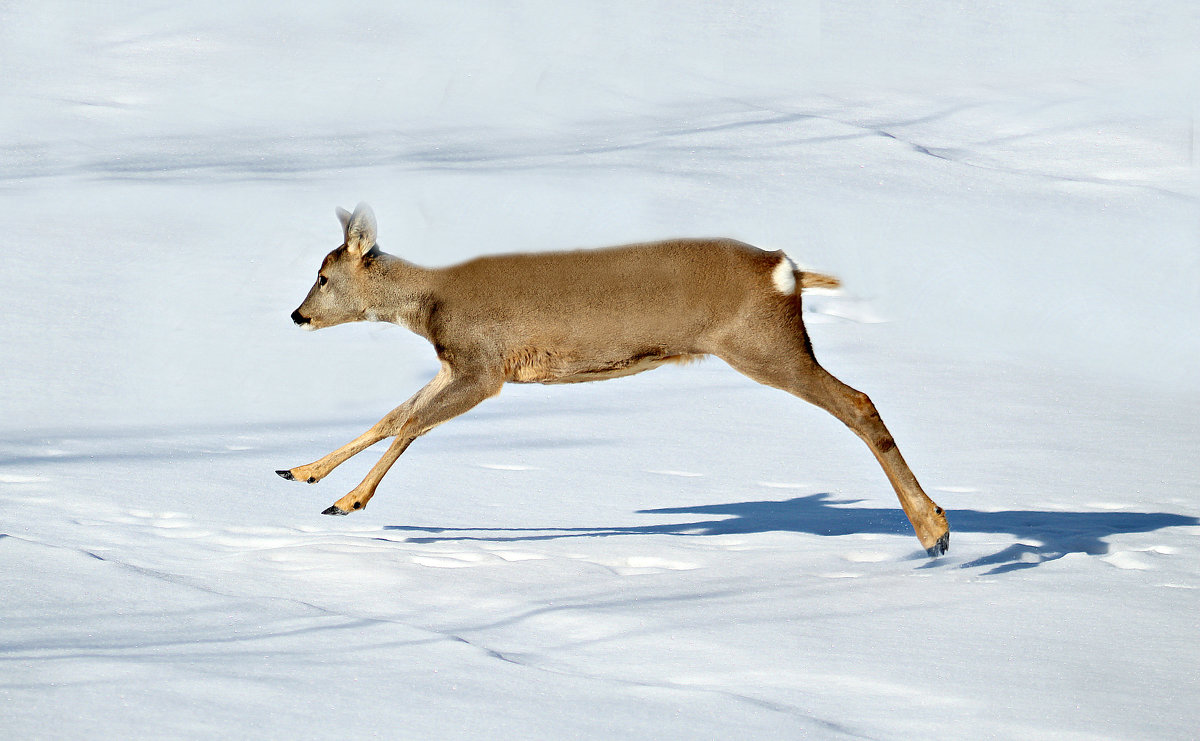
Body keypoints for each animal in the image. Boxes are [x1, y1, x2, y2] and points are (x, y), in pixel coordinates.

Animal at [276, 201, 950, 553]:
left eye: (324, 276)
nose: (297, 314)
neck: (430, 309)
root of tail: (785, 270)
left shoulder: (485, 367)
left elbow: (412, 424)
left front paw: (348, 500)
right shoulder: (456, 365)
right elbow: (393, 414)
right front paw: (302, 472)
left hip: (763, 345)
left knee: (858, 401)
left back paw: (934, 530)